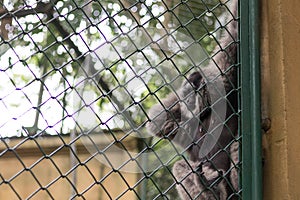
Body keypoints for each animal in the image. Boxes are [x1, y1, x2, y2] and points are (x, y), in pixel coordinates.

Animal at [145, 0, 239, 198]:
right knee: (181, 166)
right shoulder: (182, 123)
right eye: (187, 93)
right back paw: (211, 191)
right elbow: (157, 120)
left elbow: (234, 34)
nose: (188, 98)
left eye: (192, 92)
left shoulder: (227, 81)